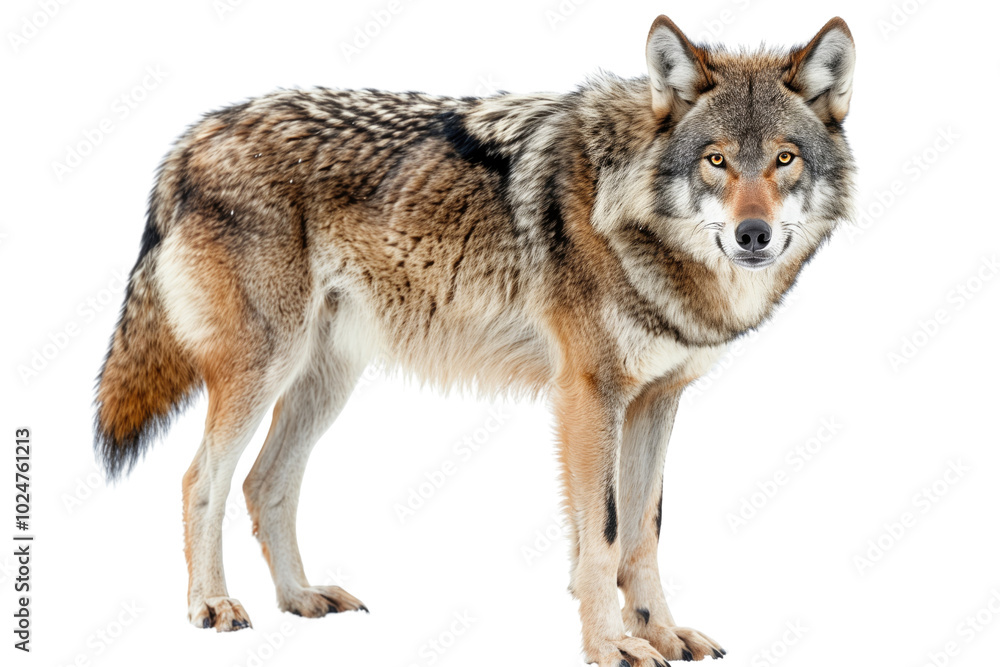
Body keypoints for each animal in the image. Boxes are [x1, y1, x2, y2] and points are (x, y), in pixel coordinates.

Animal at [93, 15, 855, 665]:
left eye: (784, 158)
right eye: (717, 161)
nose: (752, 235)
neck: (624, 205)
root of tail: (192, 136)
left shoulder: (656, 398)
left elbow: (643, 533)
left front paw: (661, 633)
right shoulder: (589, 395)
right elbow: (604, 538)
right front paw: (610, 645)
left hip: (326, 382)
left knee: (264, 481)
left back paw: (300, 598)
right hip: (264, 369)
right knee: (201, 478)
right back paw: (212, 604)